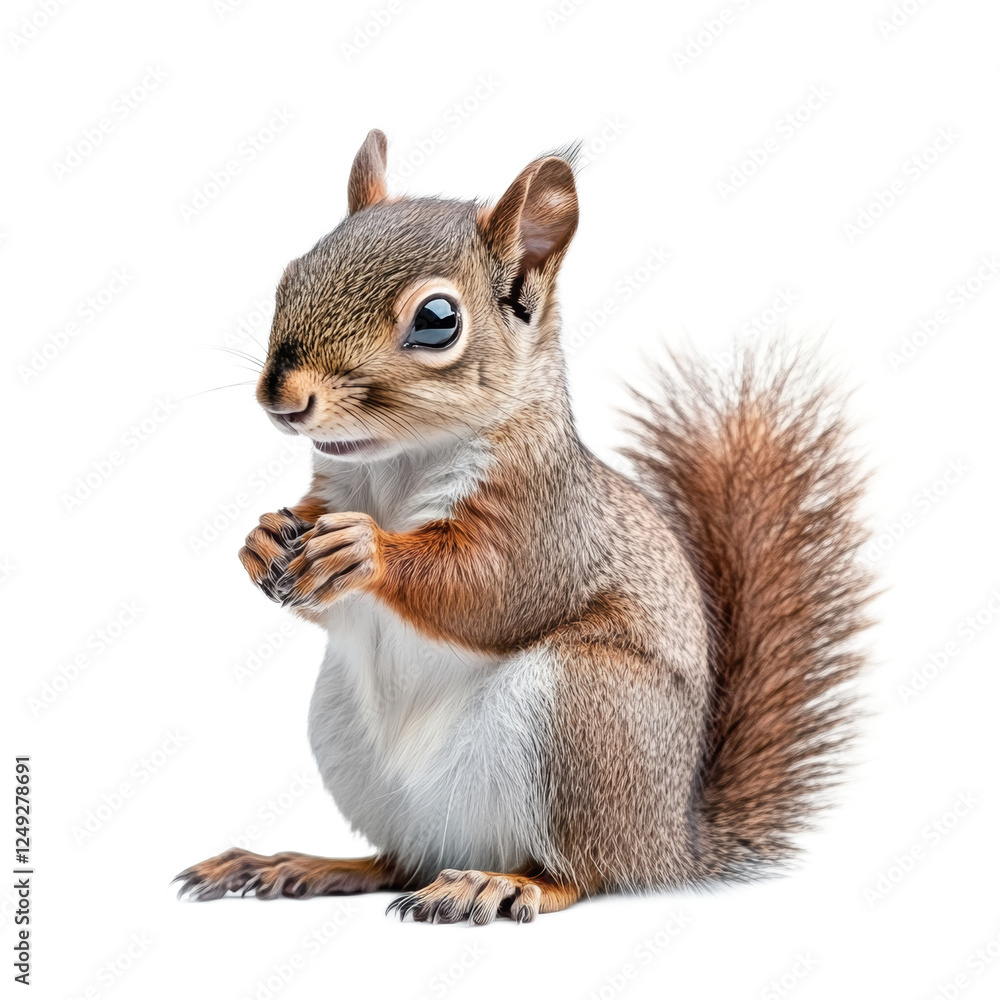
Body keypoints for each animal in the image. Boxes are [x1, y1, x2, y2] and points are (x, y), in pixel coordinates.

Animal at [175, 129, 873, 924]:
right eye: (291, 274)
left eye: (437, 320)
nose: (281, 398)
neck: (394, 469)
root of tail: (670, 844)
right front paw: (260, 538)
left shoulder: (546, 523)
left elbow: (493, 590)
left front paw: (366, 550)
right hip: (352, 743)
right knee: (397, 861)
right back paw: (305, 864)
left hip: (583, 715)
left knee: (583, 871)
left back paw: (501, 883)